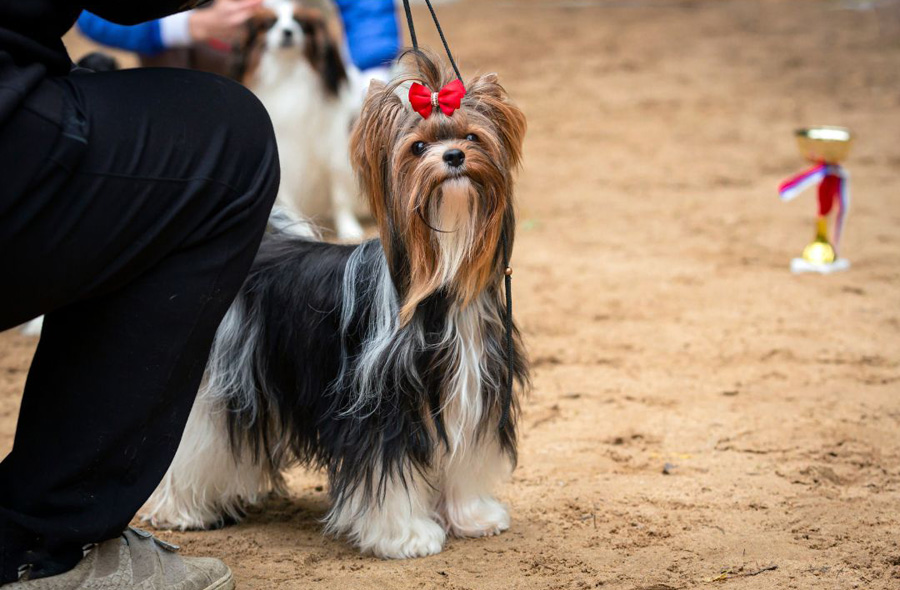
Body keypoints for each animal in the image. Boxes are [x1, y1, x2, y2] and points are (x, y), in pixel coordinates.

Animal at [144, 49, 532, 560]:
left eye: (472, 136)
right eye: (417, 148)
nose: (453, 156)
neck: (442, 276)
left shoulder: (471, 384)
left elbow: (464, 458)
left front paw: (473, 517)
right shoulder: (379, 404)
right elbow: (390, 474)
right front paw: (407, 536)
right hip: (221, 376)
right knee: (197, 439)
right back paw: (182, 510)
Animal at [244, 0, 368, 240]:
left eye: (299, 22)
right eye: (270, 23)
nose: (287, 31)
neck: (288, 72)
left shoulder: (333, 148)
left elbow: (339, 196)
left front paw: (348, 229)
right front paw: (298, 230)